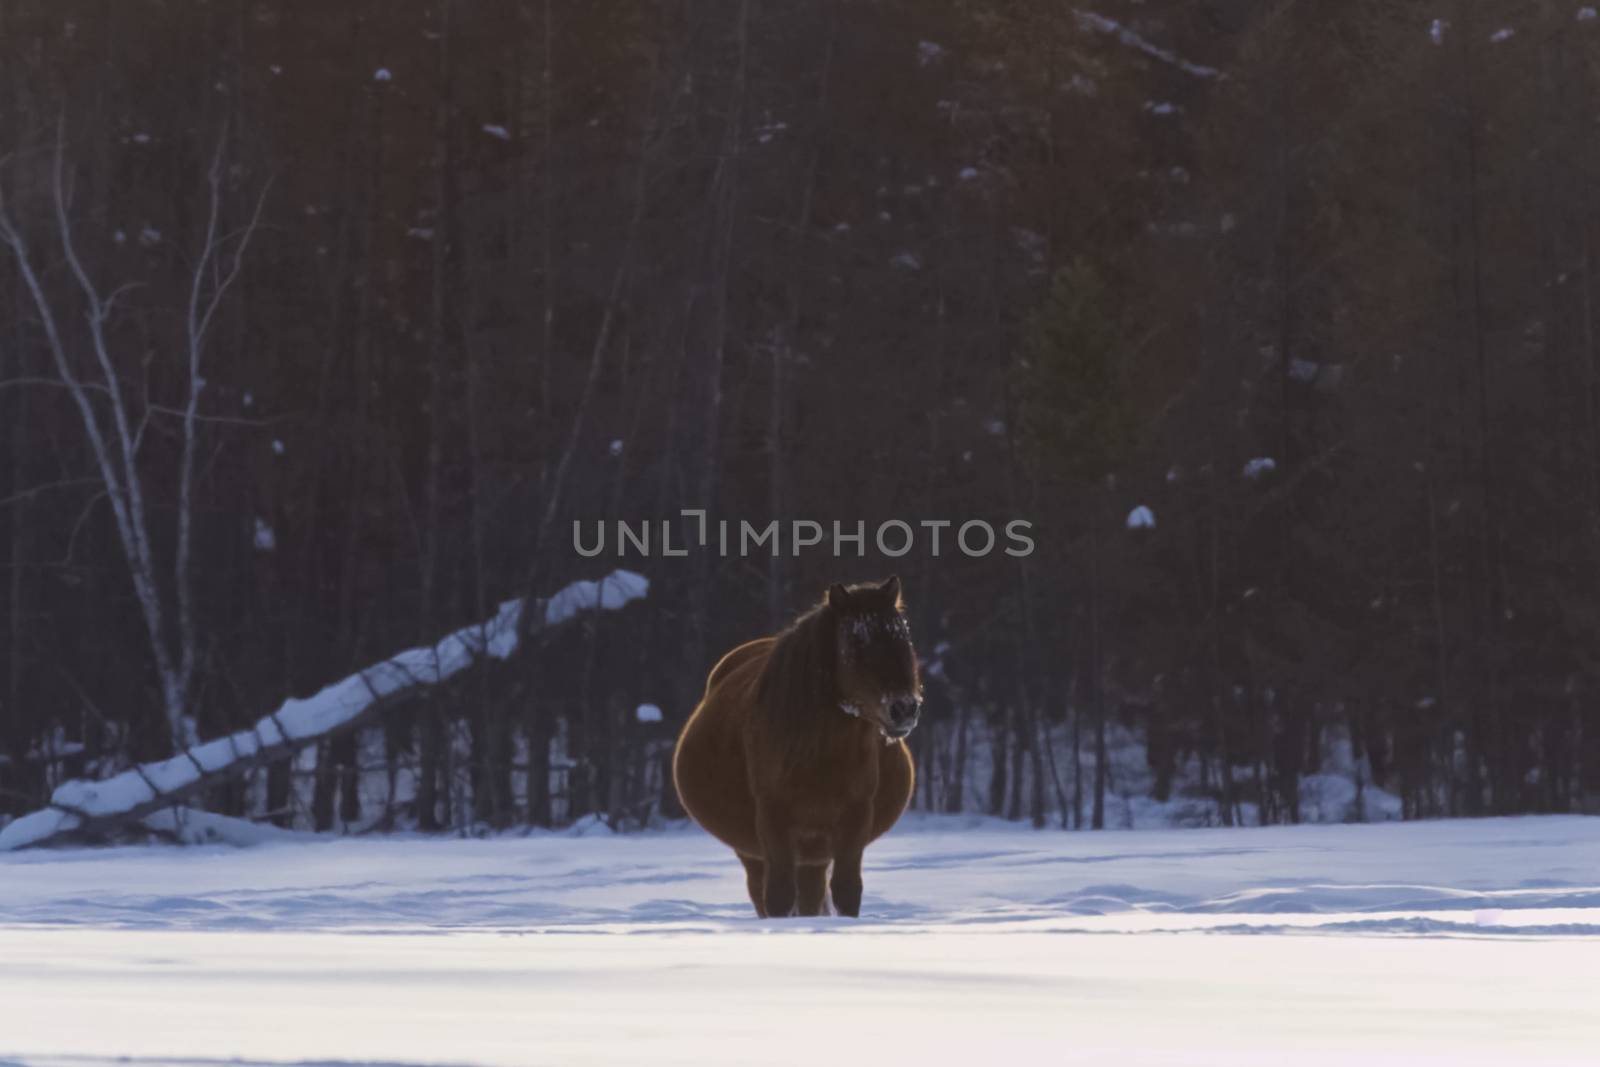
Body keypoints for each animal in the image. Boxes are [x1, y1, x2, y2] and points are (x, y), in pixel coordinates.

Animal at [675, 575, 928, 921]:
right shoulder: (773, 821)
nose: (903, 709)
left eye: (904, 640)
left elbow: (847, 891)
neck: (820, 755)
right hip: (756, 853)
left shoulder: (854, 821)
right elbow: (779, 897)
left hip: (814, 854)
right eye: (856, 644)